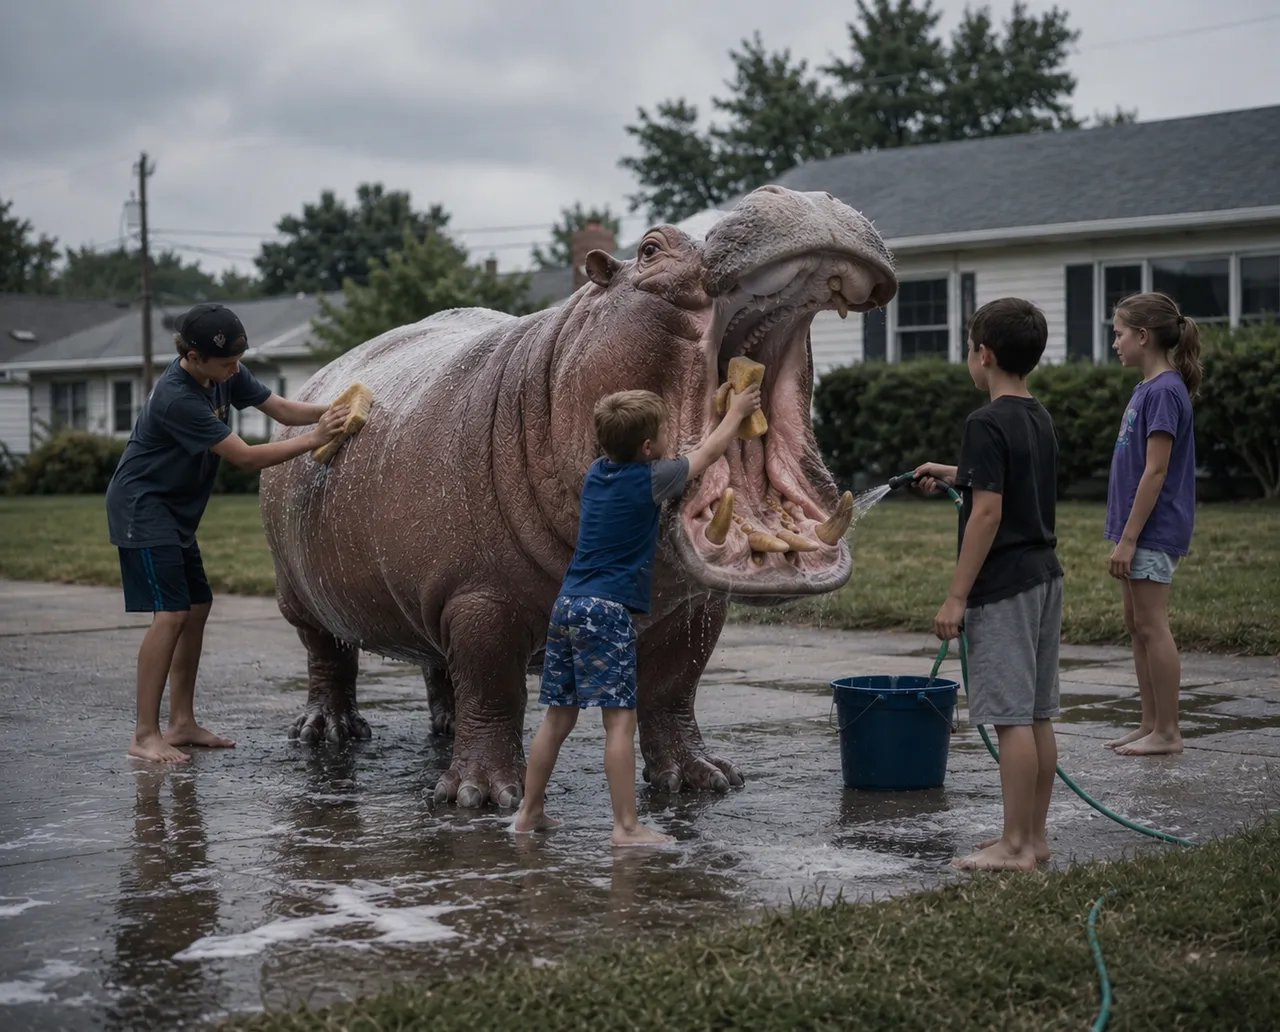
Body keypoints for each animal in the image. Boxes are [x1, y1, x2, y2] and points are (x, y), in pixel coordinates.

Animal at [258, 184, 898, 809]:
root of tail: (322, 375)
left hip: (426, 596)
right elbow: (493, 691)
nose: (800, 194)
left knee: (440, 664)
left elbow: (674, 689)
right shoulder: (479, 599)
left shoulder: (693, 609)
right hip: (301, 595)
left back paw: (443, 727)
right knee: (329, 656)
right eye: (650, 248)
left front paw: (703, 778)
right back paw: (328, 732)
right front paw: (482, 795)